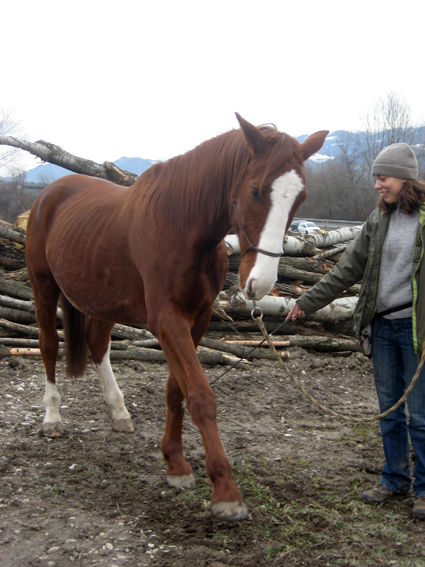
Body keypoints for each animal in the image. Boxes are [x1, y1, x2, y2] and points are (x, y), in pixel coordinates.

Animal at [24, 114, 326, 520]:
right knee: (47, 347)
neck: (181, 225)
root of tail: (51, 191)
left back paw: (119, 413)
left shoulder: (197, 317)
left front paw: (176, 464)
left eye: (301, 197)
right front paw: (225, 491)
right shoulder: (167, 320)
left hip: (103, 300)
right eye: (256, 191)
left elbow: (175, 391)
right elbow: (199, 395)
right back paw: (52, 419)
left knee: (98, 346)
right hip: (43, 288)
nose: (260, 283)